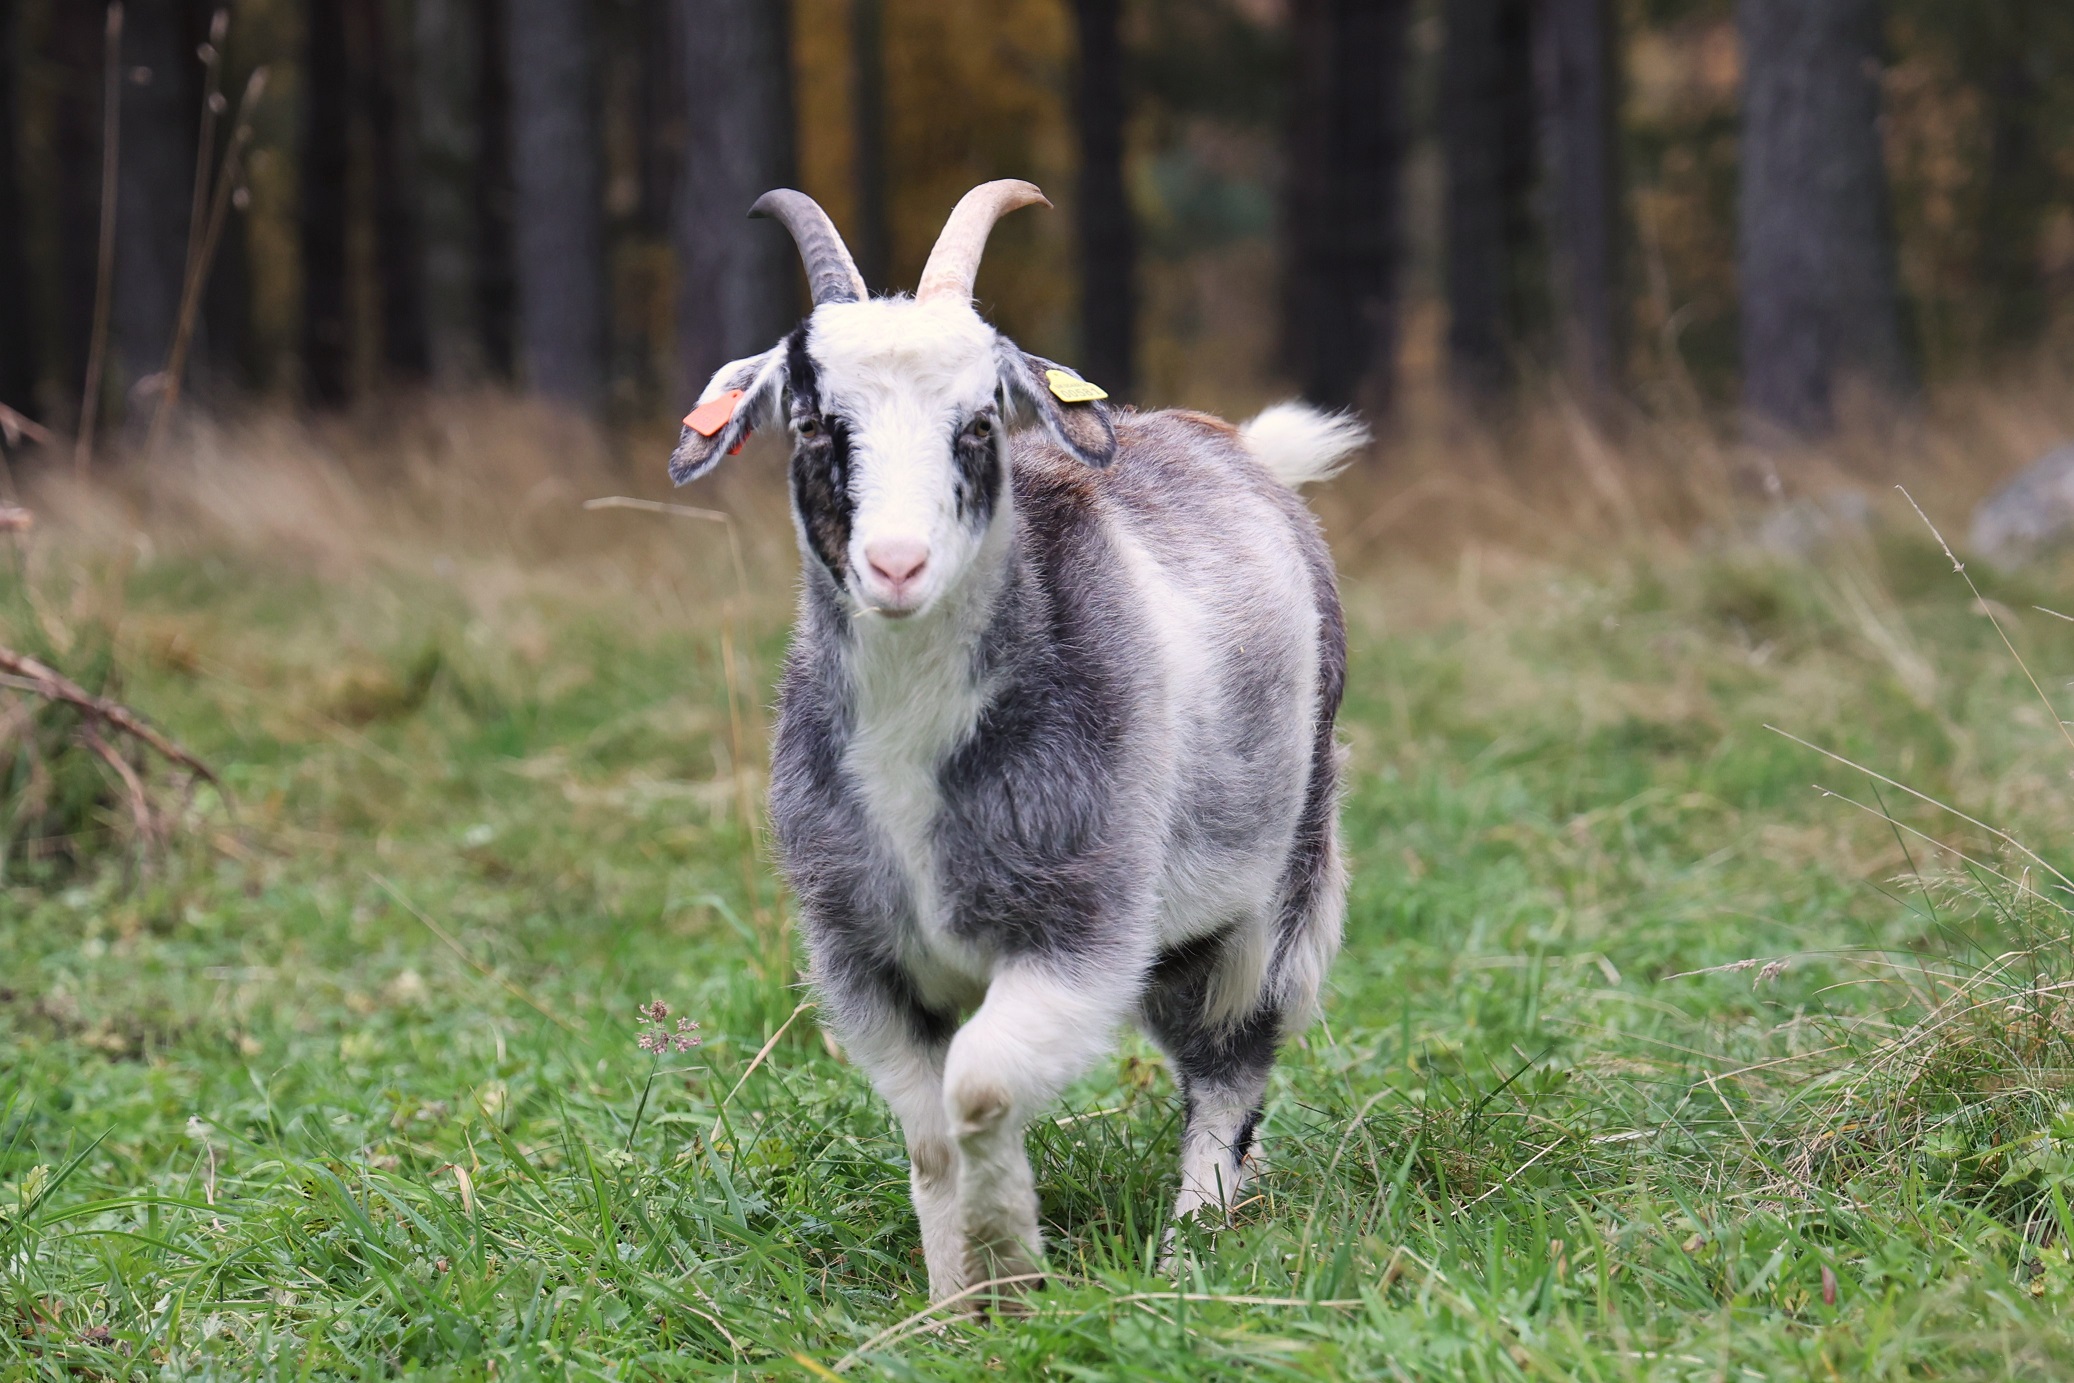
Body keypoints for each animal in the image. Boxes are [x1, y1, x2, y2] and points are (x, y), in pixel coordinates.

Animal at [671, 178, 1368, 1302]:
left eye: (979, 420)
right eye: (815, 422)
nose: (898, 565)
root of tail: (1242, 449)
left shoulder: (1081, 925)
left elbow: (983, 1088)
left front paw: (1009, 1270)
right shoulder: (862, 954)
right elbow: (927, 1131)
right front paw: (957, 1295)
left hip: (1273, 878)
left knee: (1229, 1055)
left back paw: (1197, 1233)